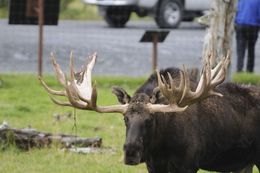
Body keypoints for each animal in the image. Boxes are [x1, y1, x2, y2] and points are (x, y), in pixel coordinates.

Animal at [39, 52, 260, 173]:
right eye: (124, 119)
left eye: (150, 119)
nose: (130, 152)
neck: (160, 148)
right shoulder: (153, 167)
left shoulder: (188, 164)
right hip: (244, 163)